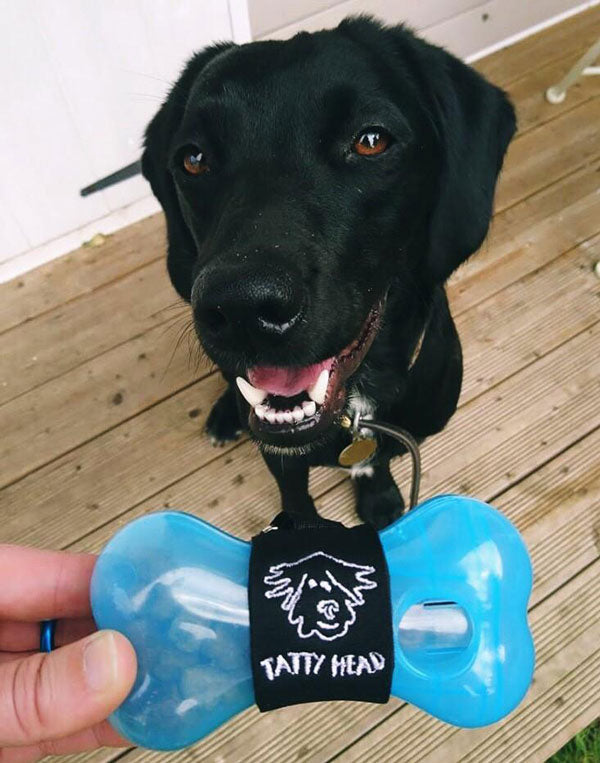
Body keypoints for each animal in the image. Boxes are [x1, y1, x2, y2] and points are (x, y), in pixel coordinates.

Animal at [142, 19, 516, 532]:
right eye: (193, 159)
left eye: (370, 140)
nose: (243, 308)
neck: (355, 406)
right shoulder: (281, 456)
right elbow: (295, 496)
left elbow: (372, 463)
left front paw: (379, 498)